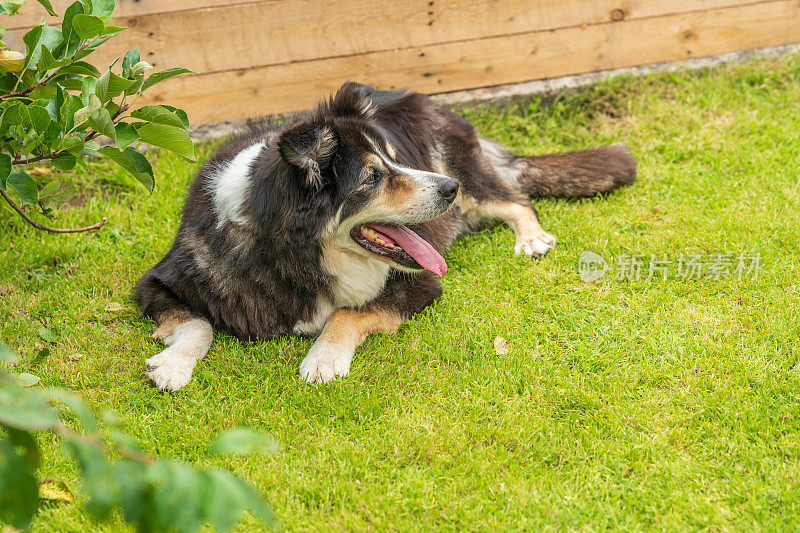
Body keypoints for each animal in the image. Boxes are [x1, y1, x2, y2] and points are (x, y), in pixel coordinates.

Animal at [134, 82, 636, 390]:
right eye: (373, 177)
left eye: (395, 158)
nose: (447, 189)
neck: (293, 256)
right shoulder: (156, 282)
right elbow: (199, 323)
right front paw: (174, 364)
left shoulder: (423, 283)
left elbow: (346, 314)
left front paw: (323, 358)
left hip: (468, 176)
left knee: (515, 198)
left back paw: (530, 237)